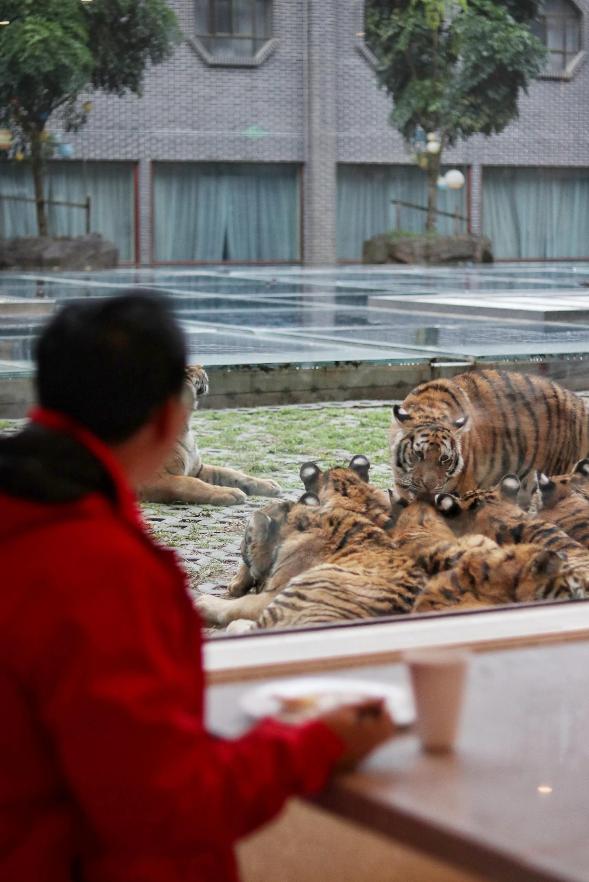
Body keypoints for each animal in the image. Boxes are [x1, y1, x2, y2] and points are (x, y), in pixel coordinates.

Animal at [141, 362, 282, 502]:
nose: (202, 366)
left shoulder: (197, 469)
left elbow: (228, 472)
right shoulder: (153, 478)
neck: (184, 426)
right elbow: (191, 483)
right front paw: (230, 493)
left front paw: (269, 484)